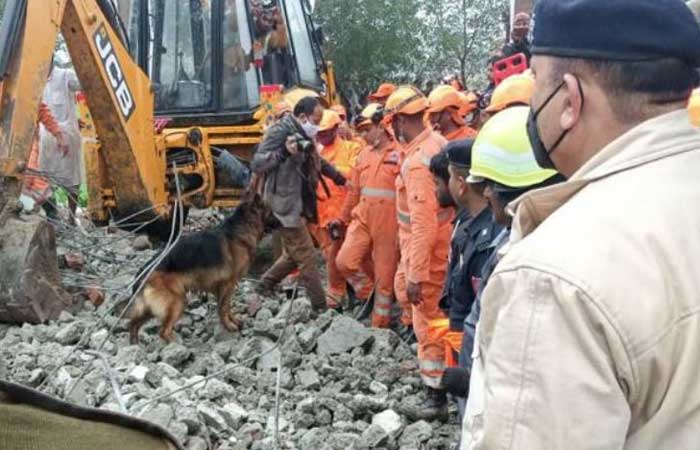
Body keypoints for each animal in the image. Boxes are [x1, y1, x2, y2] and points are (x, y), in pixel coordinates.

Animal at [127, 194, 270, 344]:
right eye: (271, 212)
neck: (241, 228)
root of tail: (143, 271)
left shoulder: (224, 287)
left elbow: (226, 307)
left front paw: (233, 320)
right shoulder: (227, 285)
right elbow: (224, 308)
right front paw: (229, 326)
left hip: (151, 308)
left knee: (133, 325)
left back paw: (135, 345)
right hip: (177, 301)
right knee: (163, 331)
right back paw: (177, 345)